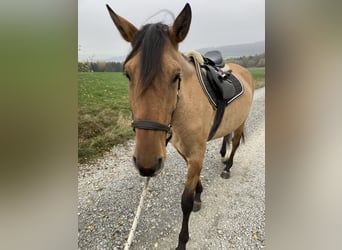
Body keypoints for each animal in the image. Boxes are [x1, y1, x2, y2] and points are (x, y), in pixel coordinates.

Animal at [107, 2, 254, 249]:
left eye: (177, 75)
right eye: (127, 74)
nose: (147, 164)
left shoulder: (196, 152)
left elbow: (185, 201)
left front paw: (182, 240)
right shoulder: (185, 151)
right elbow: (195, 183)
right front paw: (199, 195)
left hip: (241, 121)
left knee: (235, 143)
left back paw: (227, 167)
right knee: (227, 137)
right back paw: (223, 155)